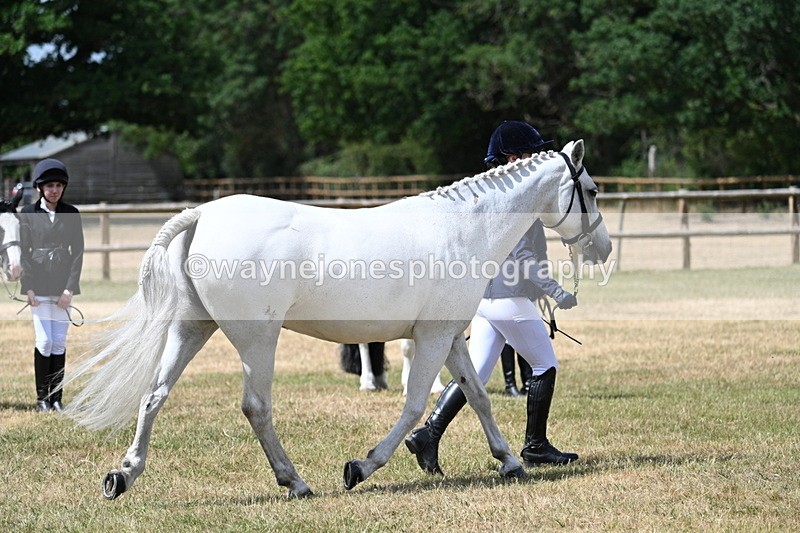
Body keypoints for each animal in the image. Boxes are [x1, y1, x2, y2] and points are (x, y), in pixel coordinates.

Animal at [63, 140, 611, 500]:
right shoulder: (433, 338)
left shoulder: (450, 336)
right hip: (257, 340)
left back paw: (123, 475)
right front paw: (361, 467)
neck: (464, 229)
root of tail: (203, 215)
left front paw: (510, 461)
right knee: (256, 407)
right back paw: (295, 482)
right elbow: (415, 404)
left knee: (154, 395)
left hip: (191, 329)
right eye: (589, 188)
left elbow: (476, 397)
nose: (603, 249)